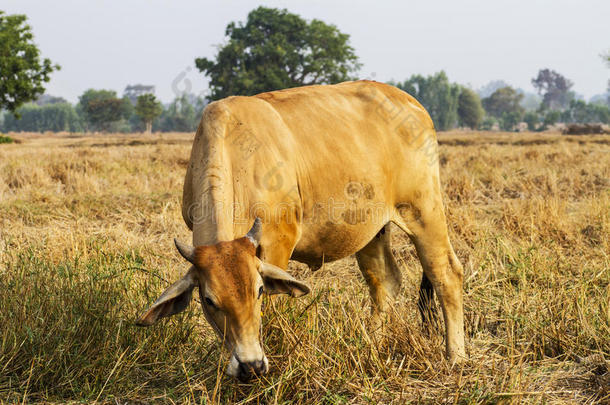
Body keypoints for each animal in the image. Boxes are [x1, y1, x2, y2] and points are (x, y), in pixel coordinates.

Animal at [135, 80, 464, 380]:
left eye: (258, 291)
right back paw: (373, 344)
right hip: (371, 229)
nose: (251, 366)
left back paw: (456, 356)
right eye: (209, 300)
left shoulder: (278, 241)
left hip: (424, 211)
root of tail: (412, 104)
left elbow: (275, 305)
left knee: (446, 274)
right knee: (385, 282)